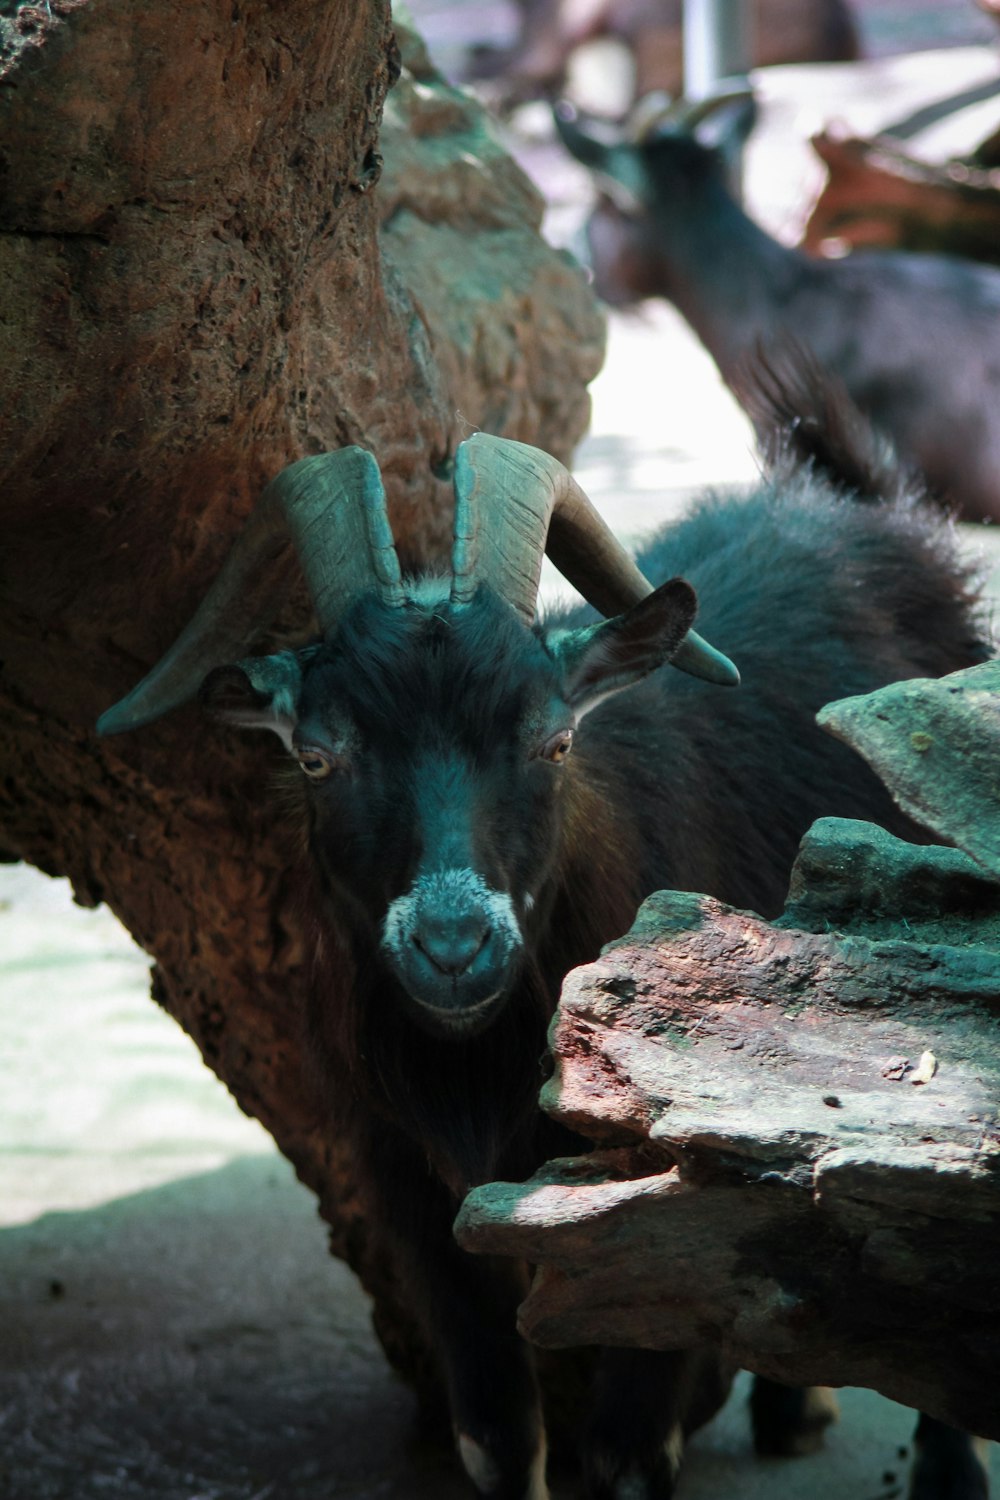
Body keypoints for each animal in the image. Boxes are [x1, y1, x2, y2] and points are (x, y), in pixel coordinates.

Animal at [97, 369, 989, 1494]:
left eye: (553, 740)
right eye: (316, 756)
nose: (452, 949)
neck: (482, 1065)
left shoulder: (669, 1186)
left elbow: (628, 1443)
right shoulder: (405, 1179)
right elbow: (495, 1429)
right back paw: (794, 1410)